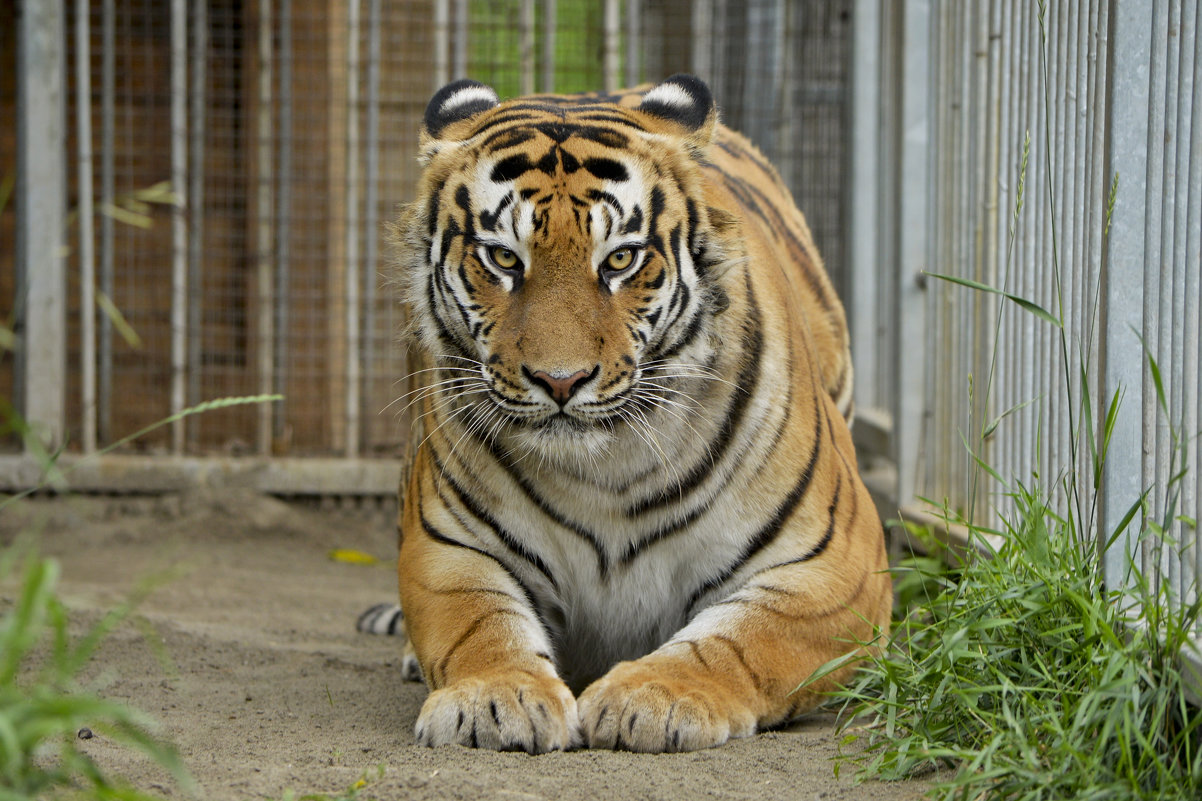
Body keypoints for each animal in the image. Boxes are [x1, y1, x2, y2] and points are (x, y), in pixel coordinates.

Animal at [365, 73, 894, 750]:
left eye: (620, 260)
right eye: (504, 259)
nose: (560, 381)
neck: (605, 468)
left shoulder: (837, 566)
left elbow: (742, 641)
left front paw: (657, 697)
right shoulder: (448, 546)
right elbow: (480, 625)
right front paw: (496, 698)